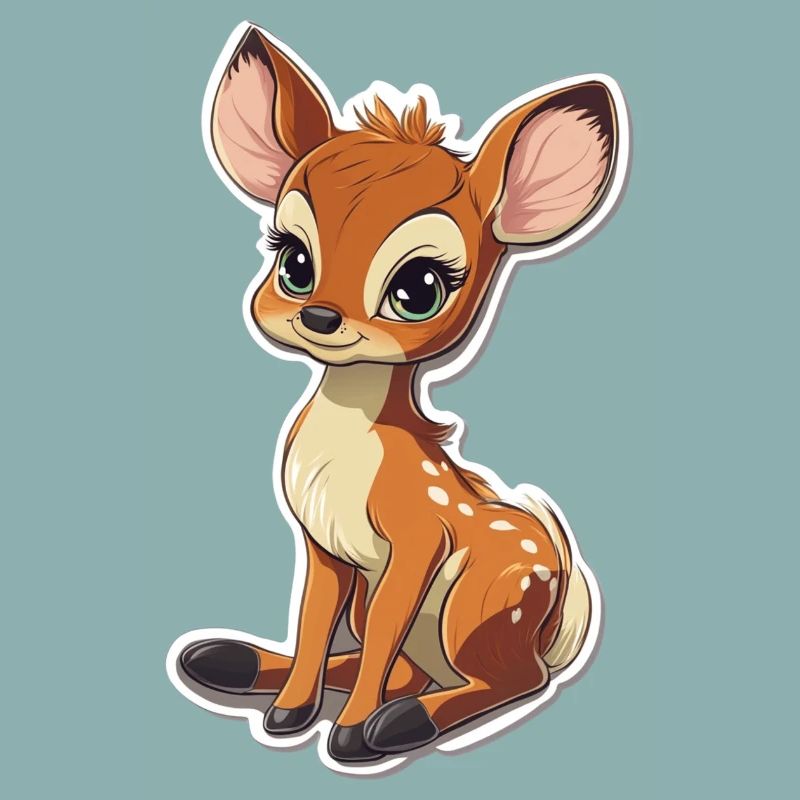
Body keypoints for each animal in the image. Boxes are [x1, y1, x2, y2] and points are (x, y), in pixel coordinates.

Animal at [174, 22, 626, 766]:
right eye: (293, 260)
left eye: (419, 288)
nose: (320, 317)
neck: (350, 448)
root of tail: (556, 620)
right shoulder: (324, 547)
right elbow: (314, 622)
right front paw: (289, 713)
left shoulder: (417, 542)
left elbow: (383, 630)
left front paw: (351, 734)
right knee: (401, 665)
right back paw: (226, 661)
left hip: (480, 599)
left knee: (512, 679)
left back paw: (401, 723)